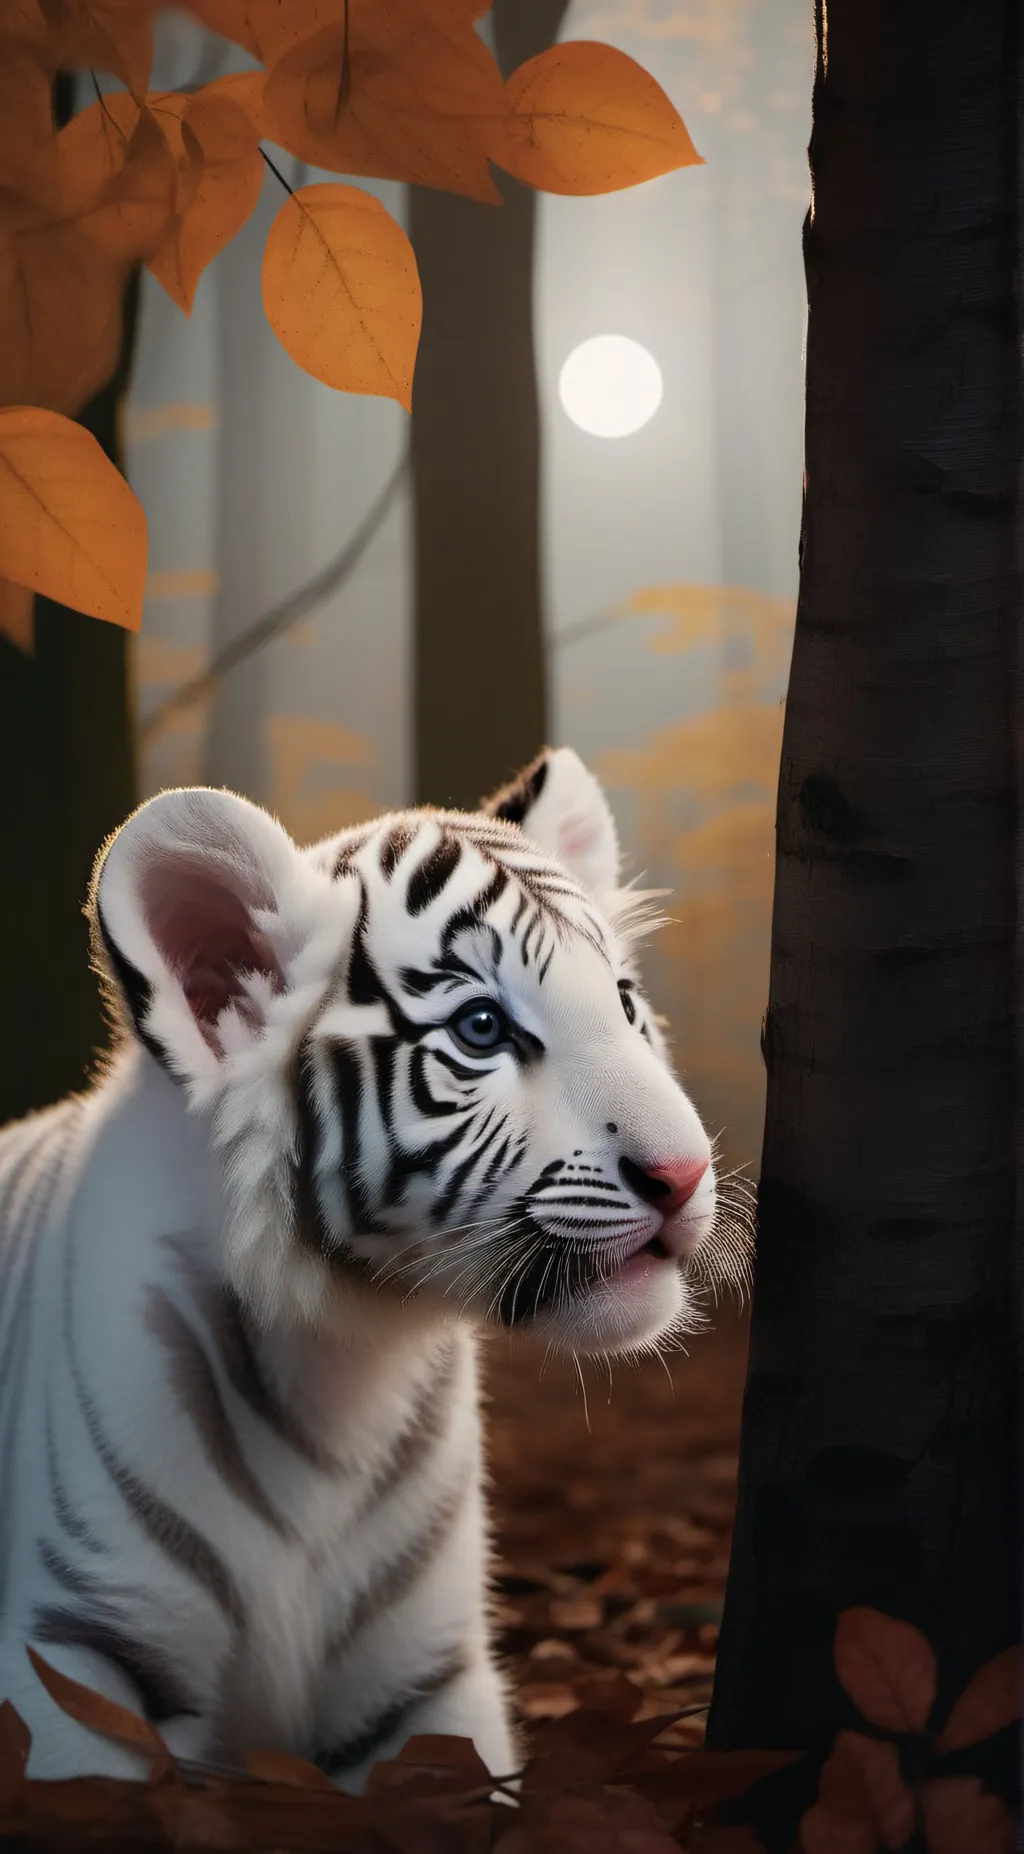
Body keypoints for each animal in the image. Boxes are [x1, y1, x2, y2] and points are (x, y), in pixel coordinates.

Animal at [0, 745, 730, 1789]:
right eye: (480, 1028)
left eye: (625, 1006)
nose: (686, 1174)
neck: (342, 1367)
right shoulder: (72, 1652)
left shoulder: (428, 1681)